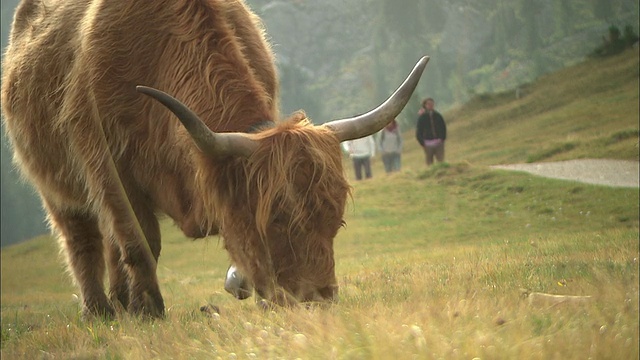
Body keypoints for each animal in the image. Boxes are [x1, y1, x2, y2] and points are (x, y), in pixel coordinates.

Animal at [1, 0, 430, 318]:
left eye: (335, 217)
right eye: (276, 217)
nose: (316, 301)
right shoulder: (107, 165)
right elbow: (140, 241)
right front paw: (148, 310)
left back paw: (121, 302)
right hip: (56, 187)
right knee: (83, 240)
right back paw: (101, 311)